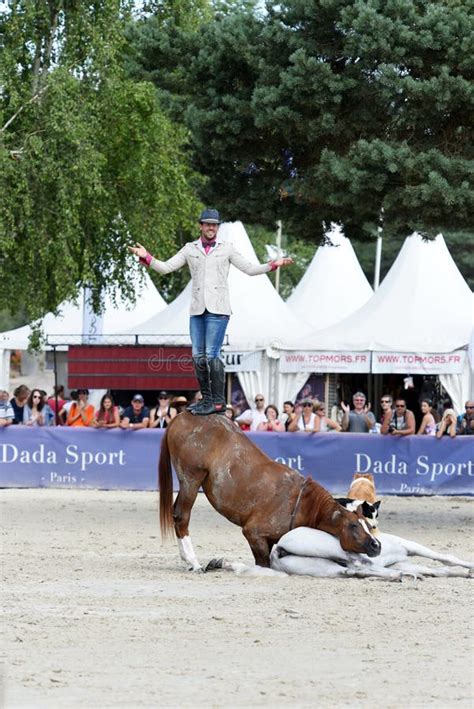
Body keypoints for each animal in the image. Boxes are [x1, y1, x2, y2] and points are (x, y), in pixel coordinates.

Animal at [159, 414, 382, 568]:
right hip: (191, 478)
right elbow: (264, 563)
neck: (303, 503)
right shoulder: (253, 533)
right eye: (353, 525)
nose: (376, 545)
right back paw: (192, 561)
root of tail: (182, 415)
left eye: (367, 524)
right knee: (181, 515)